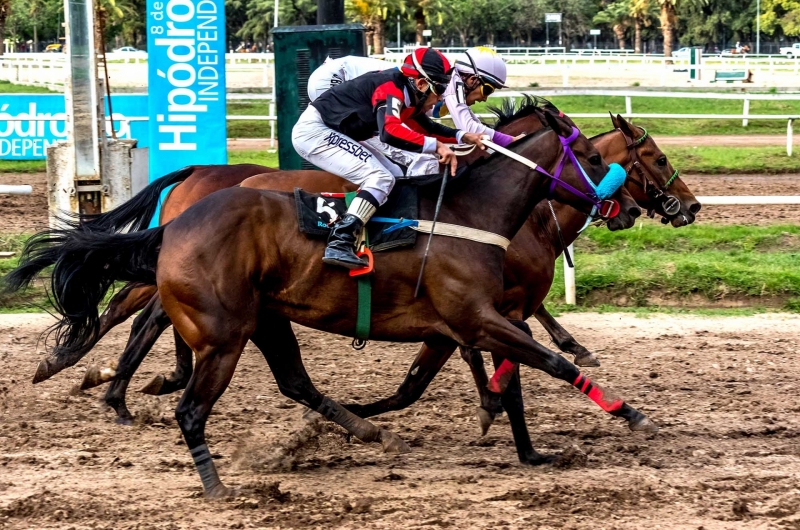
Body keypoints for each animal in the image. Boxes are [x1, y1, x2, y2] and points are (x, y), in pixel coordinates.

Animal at [7, 111, 656, 496]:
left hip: (264, 320)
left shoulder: (482, 320)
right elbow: (551, 363)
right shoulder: (478, 318)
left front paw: (531, 452)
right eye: (594, 159)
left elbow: (510, 380)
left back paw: (360, 430)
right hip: (224, 335)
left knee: (292, 380)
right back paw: (211, 479)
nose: (623, 206)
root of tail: (175, 224)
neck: (471, 212)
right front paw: (631, 414)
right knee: (186, 397)